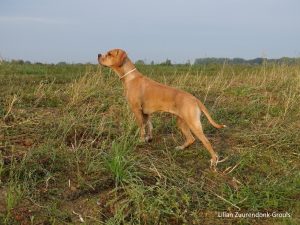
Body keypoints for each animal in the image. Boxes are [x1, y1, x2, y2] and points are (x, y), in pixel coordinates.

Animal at [97, 48, 226, 169]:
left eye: (109, 54)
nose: (98, 55)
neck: (130, 77)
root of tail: (195, 99)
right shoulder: (146, 113)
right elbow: (149, 126)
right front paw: (149, 138)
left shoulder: (137, 110)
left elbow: (142, 128)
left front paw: (141, 140)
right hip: (182, 122)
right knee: (191, 139)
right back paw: (181, 148)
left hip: (193, 124)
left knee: (206, 142)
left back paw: (214, 161)